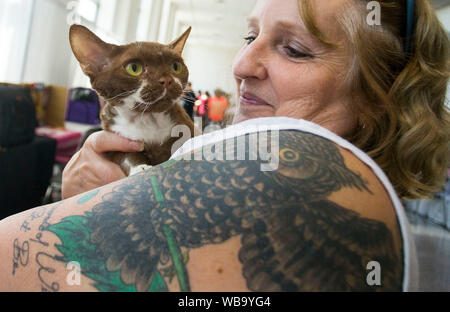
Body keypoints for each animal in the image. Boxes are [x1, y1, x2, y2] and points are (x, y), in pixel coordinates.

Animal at [70, 24, 195, 176]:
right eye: (134, 68)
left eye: (176, 66)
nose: (167, 80)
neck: (148, 118)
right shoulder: (115, 141)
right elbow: (126, 156)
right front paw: (140, 167)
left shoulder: (187, 127)